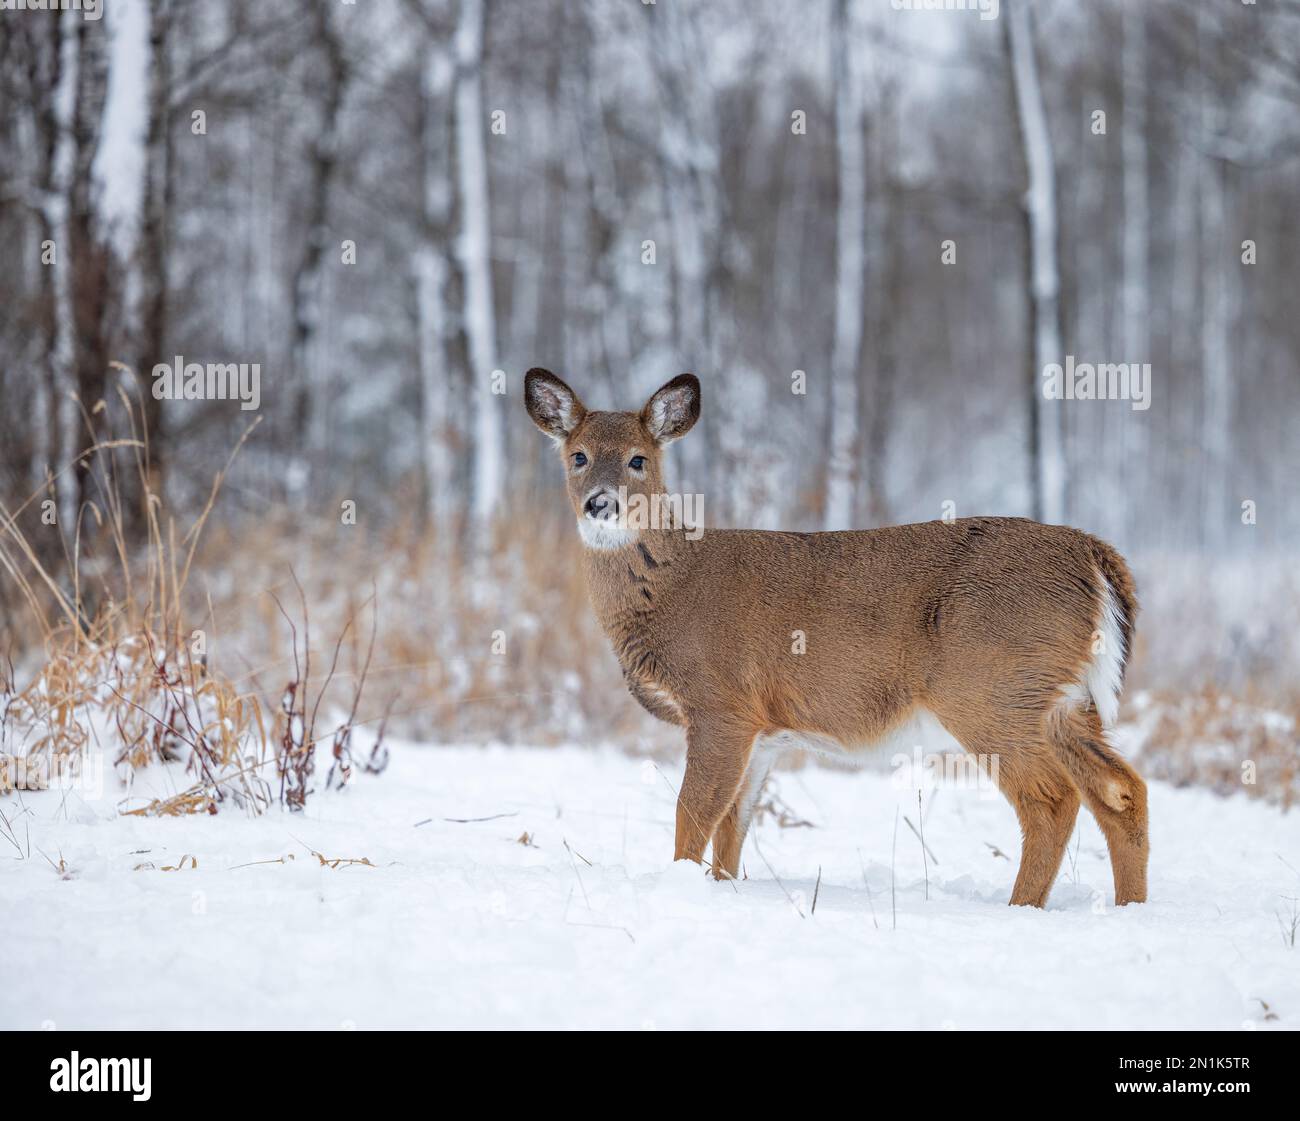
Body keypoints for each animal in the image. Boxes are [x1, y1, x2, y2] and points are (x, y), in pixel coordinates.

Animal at [522, 371, 1144, 910]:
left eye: (638, 459)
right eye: (577, 456)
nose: (601, 502)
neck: (672, 584)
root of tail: (1091, 555)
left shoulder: (721, 703)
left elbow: (693, 813)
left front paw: (680, 886)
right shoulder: (764, 729)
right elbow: (733, 825)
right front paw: (723, 888)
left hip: (991, 689)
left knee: (1053, 799)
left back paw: (1021, 908)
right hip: (1063, 702)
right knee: (1121, 790)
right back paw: (1129, 906)